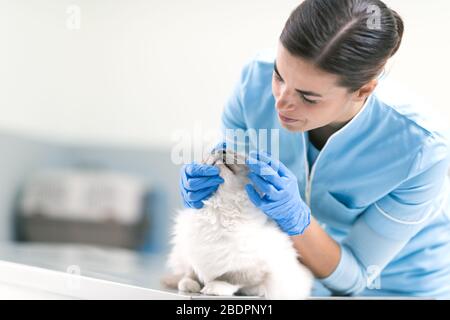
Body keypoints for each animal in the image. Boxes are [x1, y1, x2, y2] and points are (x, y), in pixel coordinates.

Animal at [163, 149, 314, 298]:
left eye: (235, 155)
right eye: (214, 151)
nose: (221, 149)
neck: (219, 208)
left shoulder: (249, 266)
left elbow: (231, 278)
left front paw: (214, 287)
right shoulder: (193, 253)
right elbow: (191, 272)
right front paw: (190, 285)